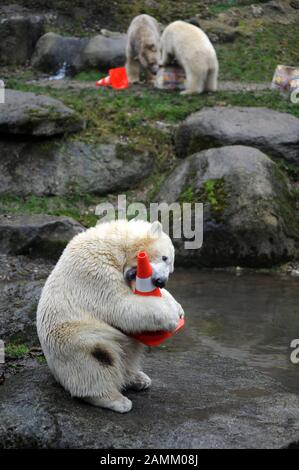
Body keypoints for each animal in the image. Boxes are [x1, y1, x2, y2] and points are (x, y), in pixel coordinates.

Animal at [36, 219, 184, 412]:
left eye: (171, 268)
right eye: (165, 257)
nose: (161, 281)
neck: (114, 244)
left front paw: (177, 307)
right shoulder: (95, 271)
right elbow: (121, 305)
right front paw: (172, 316)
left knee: (130, 351)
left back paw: (139, 379)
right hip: (76, 339)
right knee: (98, 361)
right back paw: (117, 400)